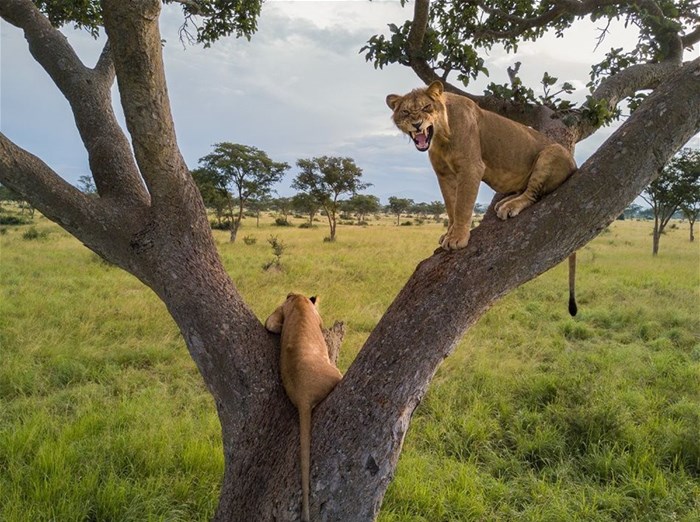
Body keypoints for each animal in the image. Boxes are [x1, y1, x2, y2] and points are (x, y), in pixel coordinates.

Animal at [265, 293, 343, 522]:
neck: (299, 301)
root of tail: (302, 396)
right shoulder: (318, 318)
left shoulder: (277, 314)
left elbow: (270, 324)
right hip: (335, 374)